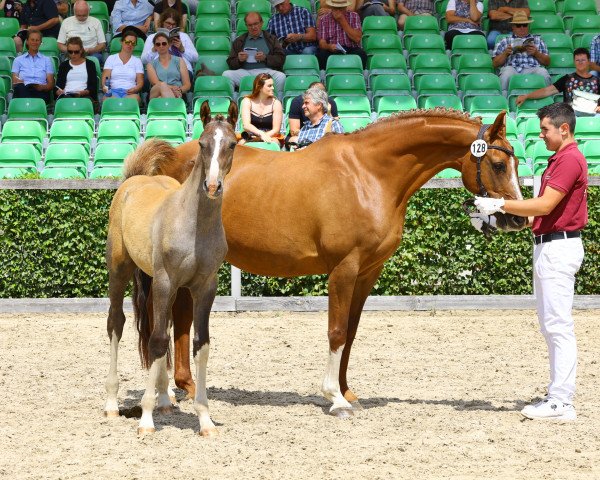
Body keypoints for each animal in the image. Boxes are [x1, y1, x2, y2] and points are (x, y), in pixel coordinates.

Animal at [103, 101, 237, 436]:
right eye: (202, 143)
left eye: (232, 143)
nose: (212, 186)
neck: (193, 225)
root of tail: (133, 179)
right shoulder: (167, 281)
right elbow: (158, 341)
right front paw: (146, 421)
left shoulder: (204, 287)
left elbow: (199, 343)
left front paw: (205, 420)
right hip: (120, 271)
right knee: (117, 323)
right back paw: (111, 404)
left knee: (155, 324)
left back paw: (164, 398)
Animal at [130, 110, 524, 418]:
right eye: (499, 164)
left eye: (516, 162)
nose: (516, 218)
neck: (369, 174)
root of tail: (170, 159)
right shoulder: (344, 269)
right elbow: (336, 331)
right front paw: (335, 398)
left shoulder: (368, 273)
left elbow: (350, 332)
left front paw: (348, 391)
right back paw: (167, 392)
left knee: (180, 317)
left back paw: (185, 386)